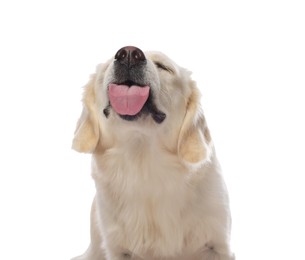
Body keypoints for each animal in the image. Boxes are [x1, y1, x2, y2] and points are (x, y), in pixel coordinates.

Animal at [70, 45, 233, 258]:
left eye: (163, 67)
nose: (129, 54)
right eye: (106, 68)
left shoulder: (218, 244)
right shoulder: (118, 249)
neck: (143, 159)